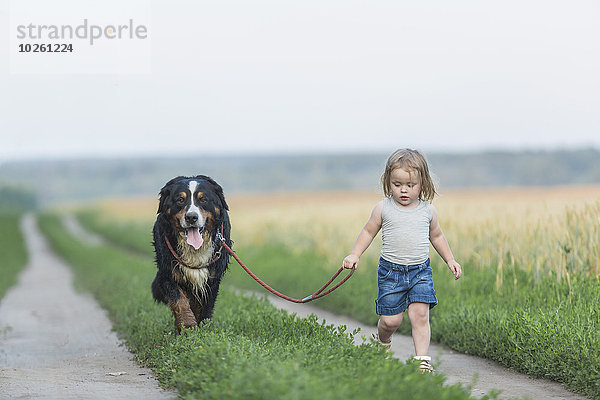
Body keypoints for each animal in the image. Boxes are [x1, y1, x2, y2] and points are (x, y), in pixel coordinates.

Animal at [150, 176, 232, 334]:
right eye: (180, 200)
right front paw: (188, 327)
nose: (191, 217)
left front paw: (203, 329)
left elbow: (205, 308)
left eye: (203, 199)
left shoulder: (211, 279)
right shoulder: (168, 274)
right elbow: (179, 302)